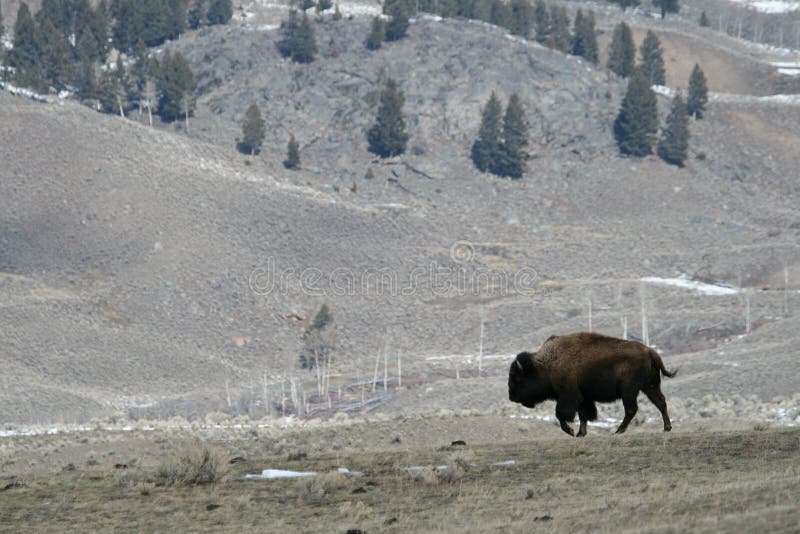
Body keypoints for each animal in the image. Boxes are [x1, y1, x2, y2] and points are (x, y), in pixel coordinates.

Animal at [508, 332, 676, 437]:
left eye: (518, 378)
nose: (511, 397)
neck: (547, 364)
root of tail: (650, 352)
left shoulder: (568, 396)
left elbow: (561, 414)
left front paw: (571, 431)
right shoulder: (584, 399)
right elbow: (583, 415)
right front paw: (580, 433)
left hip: (629, 391)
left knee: (631, 409)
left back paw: (618, 431)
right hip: (650, 386)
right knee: (660, 402)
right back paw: (667, 428)